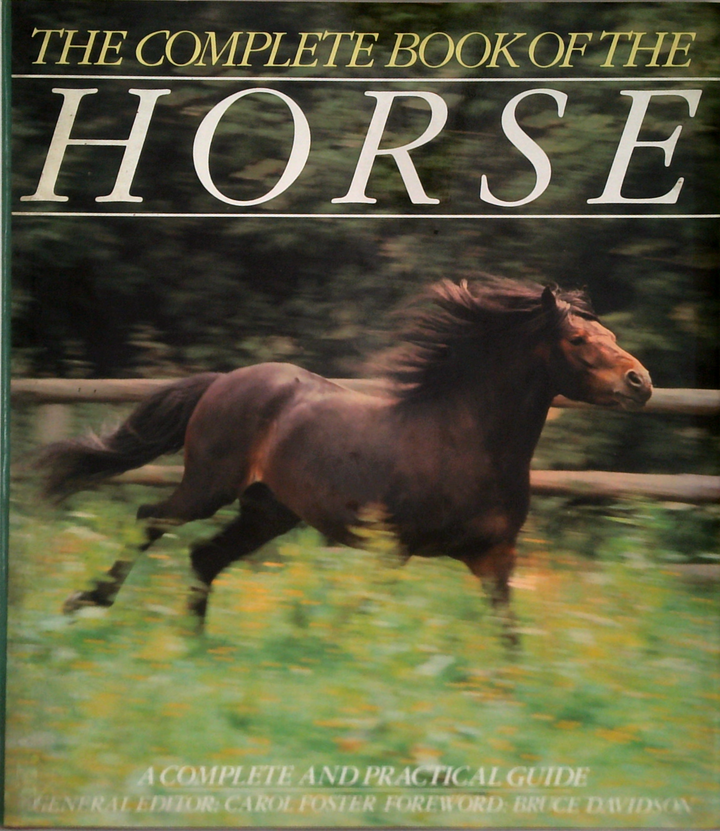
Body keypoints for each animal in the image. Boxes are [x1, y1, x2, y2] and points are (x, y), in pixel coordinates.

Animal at [39, 278, 652, 642]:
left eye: (607, 331)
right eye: (578, 340)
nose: (640, 382)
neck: (466, 439)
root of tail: (223, 380)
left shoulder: (494, 556)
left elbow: (508, 638)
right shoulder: (392, 547)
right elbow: (365, 615)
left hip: (268, 511)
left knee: (203, 557)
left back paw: (194, 648)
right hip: (209, 485)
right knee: (151, 520)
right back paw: (85, 602)